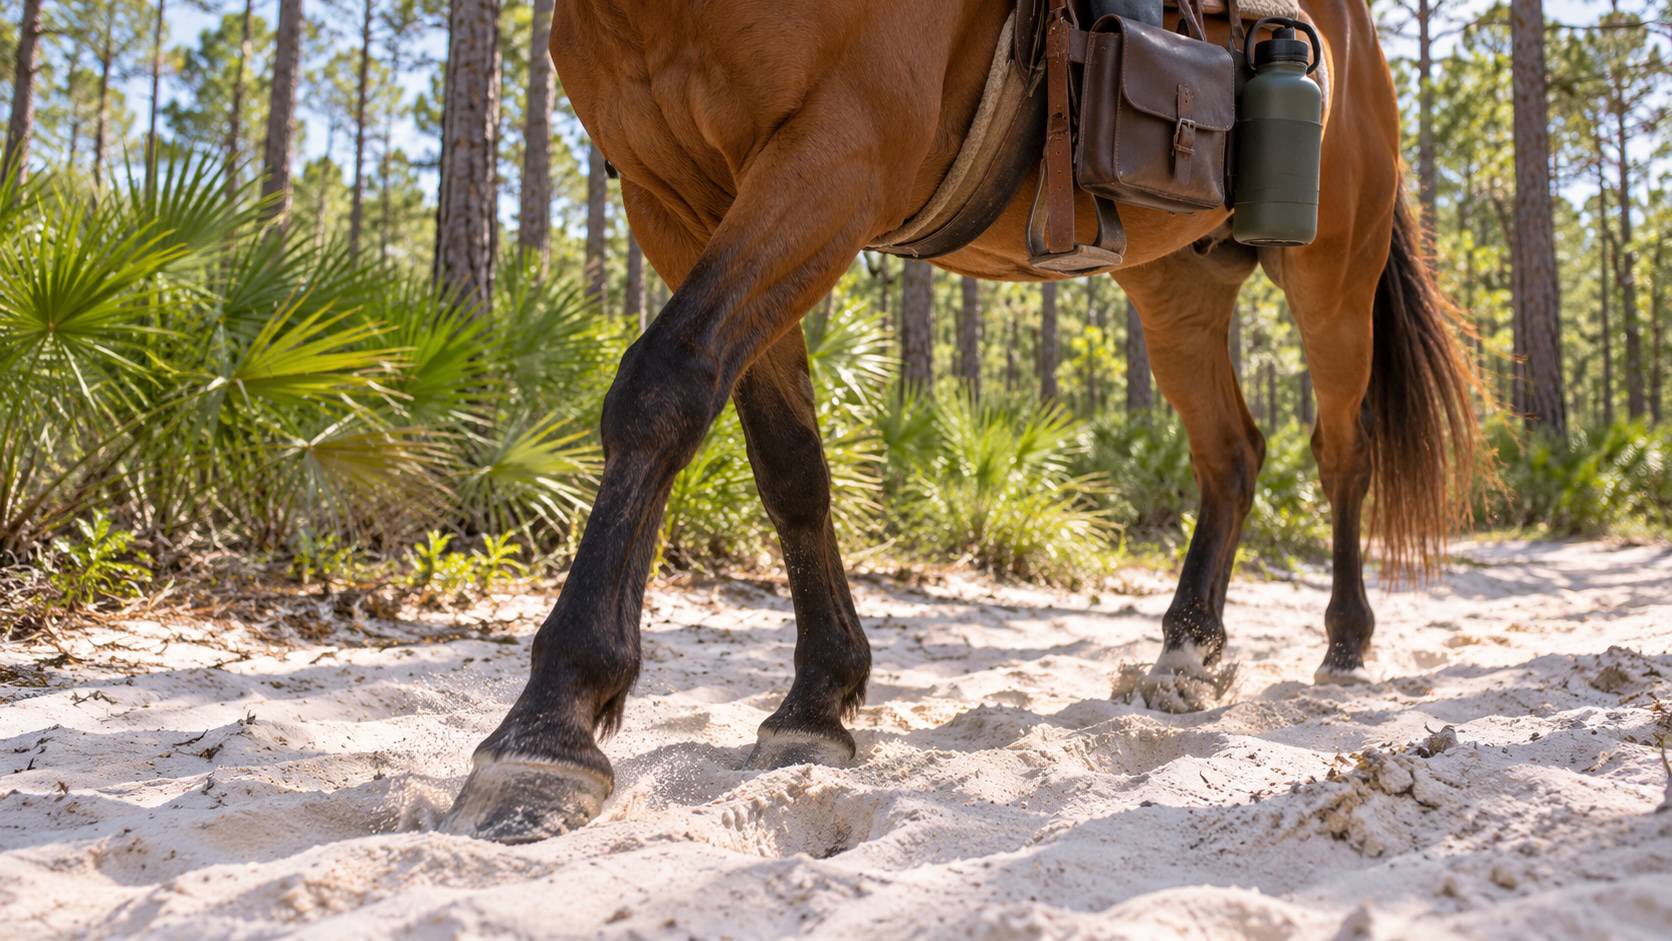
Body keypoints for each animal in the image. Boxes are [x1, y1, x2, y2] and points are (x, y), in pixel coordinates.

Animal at [442, 0, 1482, 843]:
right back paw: (1189, 648)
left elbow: (662, 387)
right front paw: (818, 699)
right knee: (1232, 452)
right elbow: (788, 461)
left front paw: (550, 724)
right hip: (1173, 283)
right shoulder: (676, 202)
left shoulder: (833, 162)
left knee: (1340, 450)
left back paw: (1345, 639)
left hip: (1333, 271)